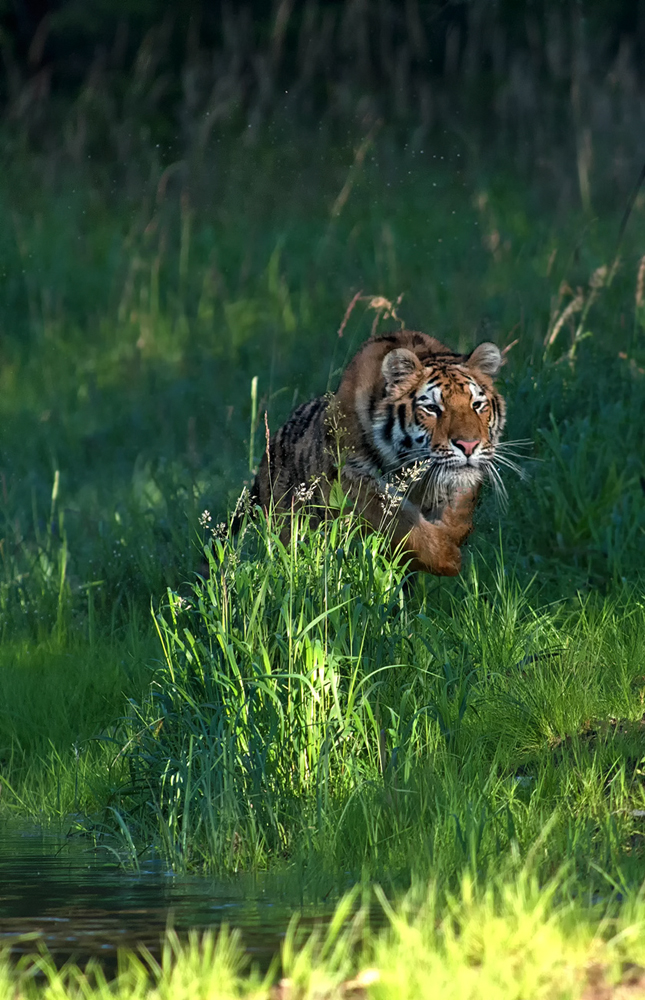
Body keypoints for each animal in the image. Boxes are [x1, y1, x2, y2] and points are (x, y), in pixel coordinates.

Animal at [240, 329, 507, 576]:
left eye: (477, 405)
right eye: (432, 408)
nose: (469, 445)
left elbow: (460, 506)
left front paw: (452, 535)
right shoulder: (348, 478)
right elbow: (395, 519)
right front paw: (448, 557)